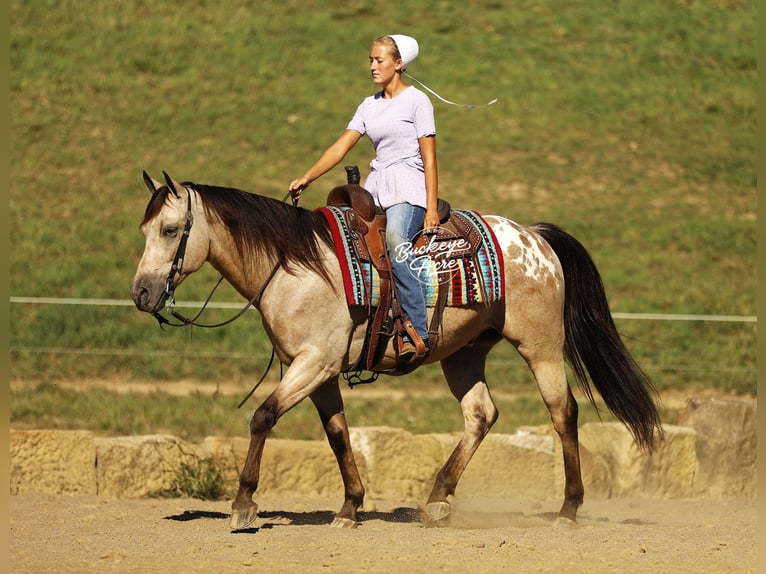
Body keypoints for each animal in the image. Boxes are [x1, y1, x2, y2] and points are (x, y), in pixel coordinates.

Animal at [130, 171, 664, 531]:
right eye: (144, 230)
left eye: (171, 230)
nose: (141, 293)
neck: (295, 265)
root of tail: (535, 236)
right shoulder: (317, 370)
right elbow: (337, 434)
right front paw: (350, 506)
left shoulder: (313, 363)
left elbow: (263, 417)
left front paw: (243, 505)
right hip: (464, 354)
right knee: (481, 415)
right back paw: (438, 500)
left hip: (542, 347)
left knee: (562, 412)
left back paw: (568, 508)